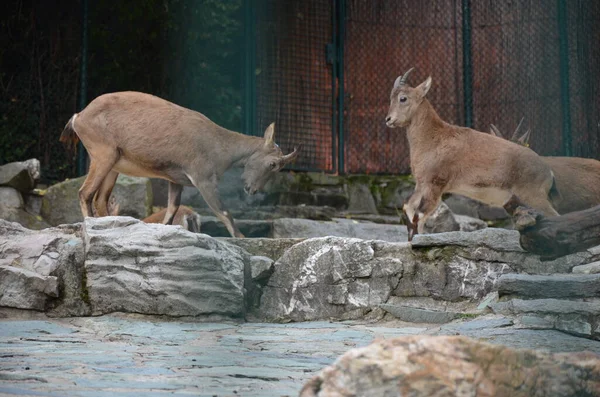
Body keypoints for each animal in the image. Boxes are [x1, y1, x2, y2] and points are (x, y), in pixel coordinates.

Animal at [384, 69, 556, 240]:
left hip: (533, 195)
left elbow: (420, 214)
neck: (433, 138)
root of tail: (548, 171)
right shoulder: (421, 184)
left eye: (403, 98)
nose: (388, 119)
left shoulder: (435, 184)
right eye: (391, 97)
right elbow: (408, 206)